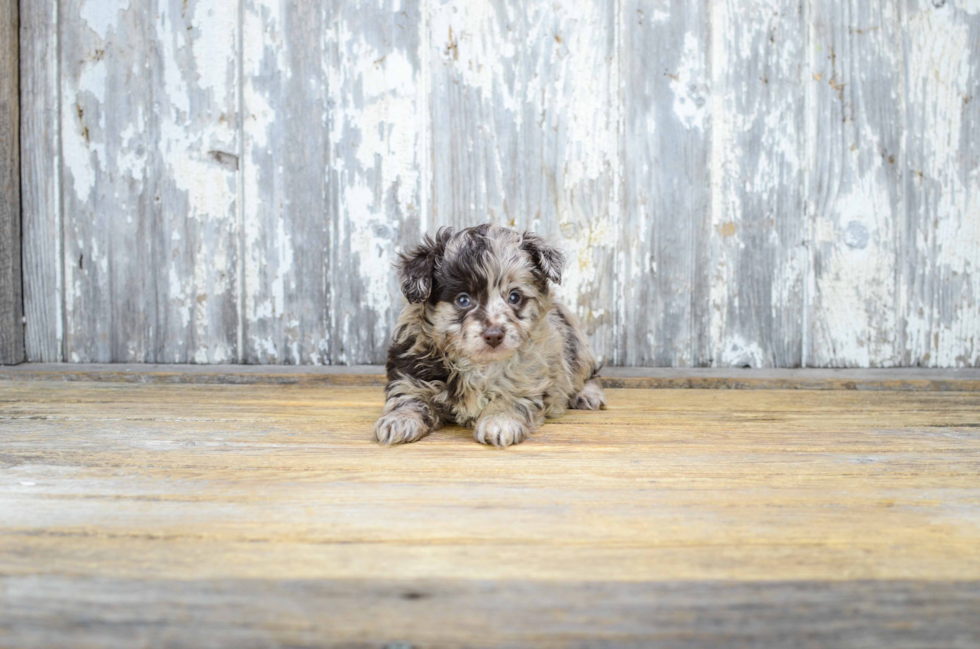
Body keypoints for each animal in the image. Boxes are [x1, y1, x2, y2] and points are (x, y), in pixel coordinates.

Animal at [376, 223, 604, 446]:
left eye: (514, 297)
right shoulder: (411, 373)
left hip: (577, 346)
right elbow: (409, 396)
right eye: (463, 300)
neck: (479, 364)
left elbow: (512, 394)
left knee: (590, 374)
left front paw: (499, 421)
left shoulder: (531, 374)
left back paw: (587, 395)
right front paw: (400, 419)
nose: (494, 335)